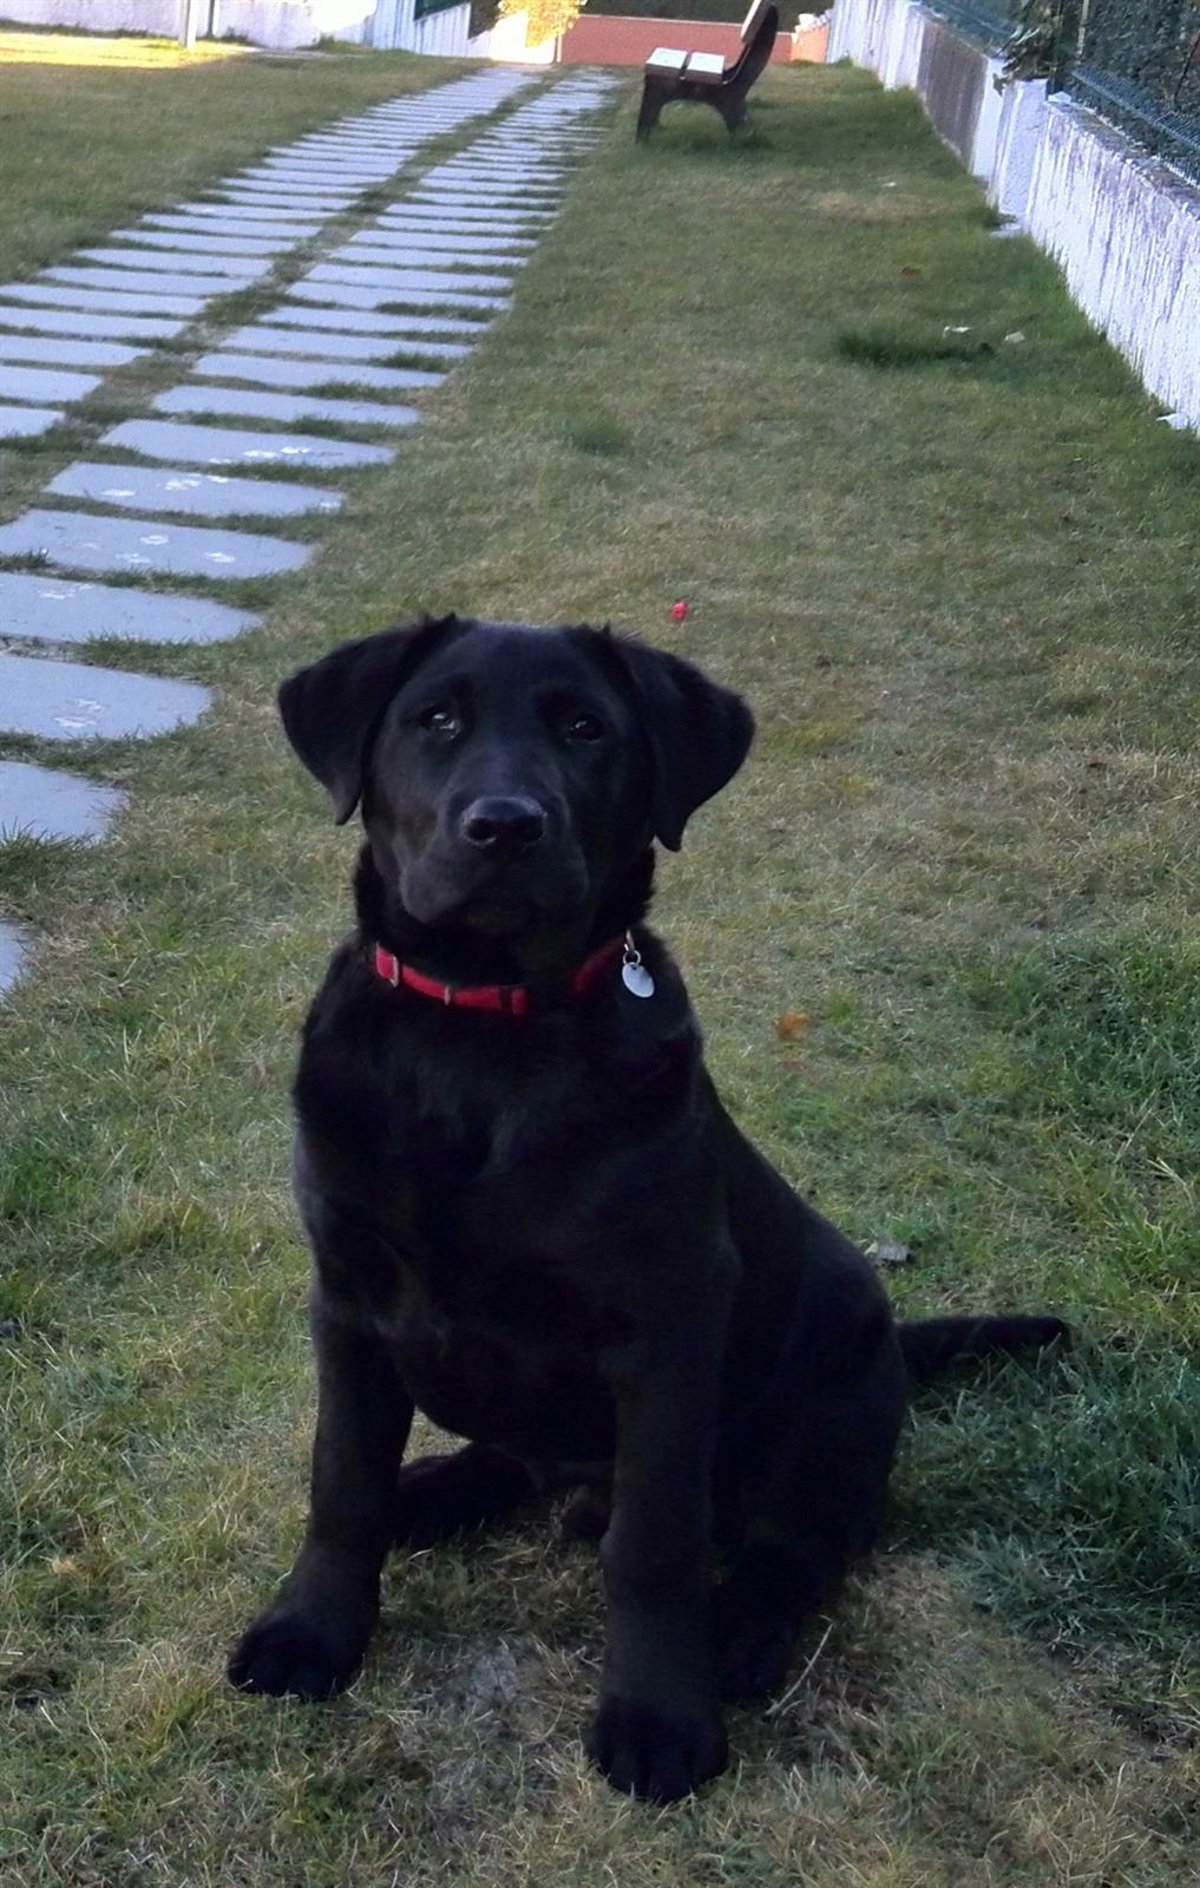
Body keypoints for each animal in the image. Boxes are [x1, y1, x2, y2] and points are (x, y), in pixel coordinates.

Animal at [229, 614, 1065, 1803]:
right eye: (435, 719)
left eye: (586, 728)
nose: (505, 825)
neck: (480, 1036)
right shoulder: (347, 1296)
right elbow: (341, 1481)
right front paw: (312, 1631)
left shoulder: (668, 1324)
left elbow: (656, 1542)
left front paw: (661, 1714)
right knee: (518, 1459)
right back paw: (430, 1489)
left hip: (834, 1402)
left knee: (795, 1547)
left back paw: (740, 1634)